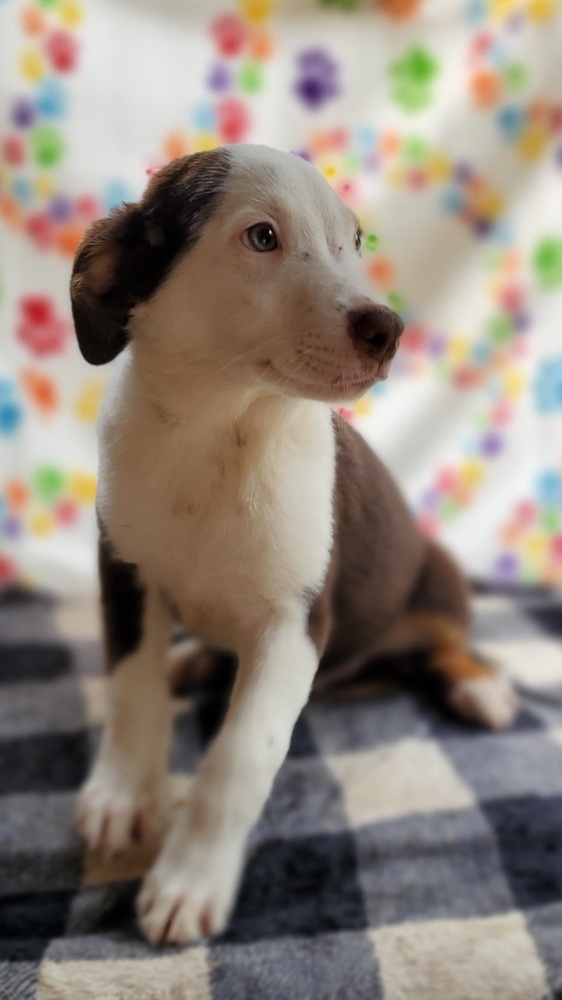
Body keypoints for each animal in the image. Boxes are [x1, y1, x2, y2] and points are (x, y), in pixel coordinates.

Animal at [70, 143, 516, 944]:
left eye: (353, 241)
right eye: (262, 237)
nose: (388, 328)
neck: (218, 431)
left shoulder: (295, 623)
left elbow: (239, 758)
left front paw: (189, 880)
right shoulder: (124, 571)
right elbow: (130, 693)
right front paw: (122, 796)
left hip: (434, 576)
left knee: (450, 639)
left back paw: (479, 684)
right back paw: (192, 662)